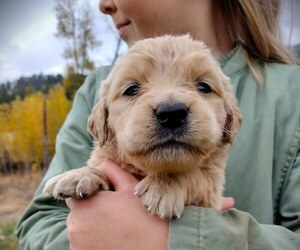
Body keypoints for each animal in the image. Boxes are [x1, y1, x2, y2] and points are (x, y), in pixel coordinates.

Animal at [44, 35, 241, 219]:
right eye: (131, 89)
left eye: (203, 86)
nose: (172, 114)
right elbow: (99, 165)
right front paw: (78, 175)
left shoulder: (212, 190)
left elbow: (197, 175)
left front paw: (164, 187)